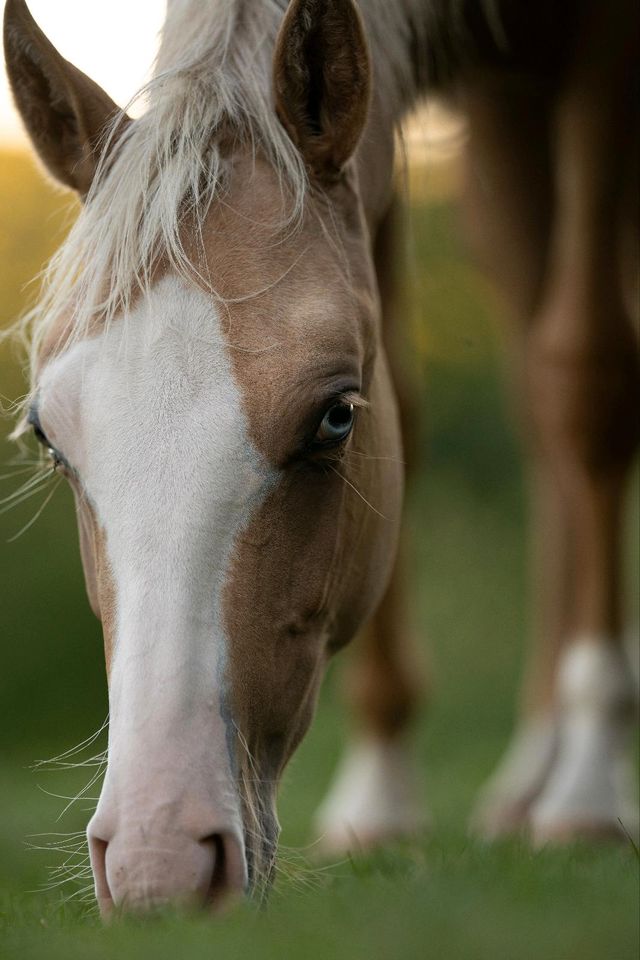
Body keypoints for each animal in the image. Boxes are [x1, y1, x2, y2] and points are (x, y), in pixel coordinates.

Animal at [3, 0, 636, 916]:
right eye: (50, 440)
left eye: (336, 419)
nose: (159, 866)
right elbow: (410, 401)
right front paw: (379, 799)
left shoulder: (605, 50)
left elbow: (585, 382)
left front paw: (591, 791)